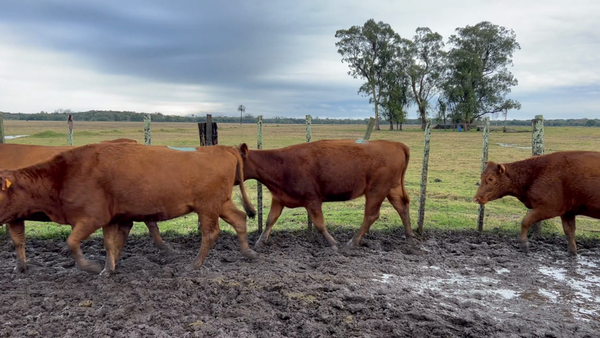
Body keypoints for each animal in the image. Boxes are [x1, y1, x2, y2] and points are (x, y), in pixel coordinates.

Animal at [237, 139, 414, 250]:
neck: (280, 164)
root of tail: (396, 144)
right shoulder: (279, 198)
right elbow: (270, 220)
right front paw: (260, 242)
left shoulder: (312, 199)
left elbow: (319, 224)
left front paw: (333, 243)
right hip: (392, 188)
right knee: (402, 207)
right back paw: (409, 236)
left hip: (376, 189)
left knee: (371, 215)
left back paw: (352, 242)